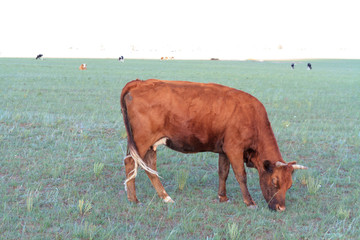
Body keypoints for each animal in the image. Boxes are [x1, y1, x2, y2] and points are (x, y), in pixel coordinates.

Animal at [121, 79, 306, 211]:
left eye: (289, 185)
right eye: (275, 181)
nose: (281, 208)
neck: (251, 116)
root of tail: (140, 82)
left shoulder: (224, 150)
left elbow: (223, 173)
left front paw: (222, 197)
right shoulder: (234, 148)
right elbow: (241, 175)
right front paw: (249, 202)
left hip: (149, 144)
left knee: (149, 168)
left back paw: (165, 197)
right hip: (142, 140)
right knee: (131, 163)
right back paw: (134, 199)